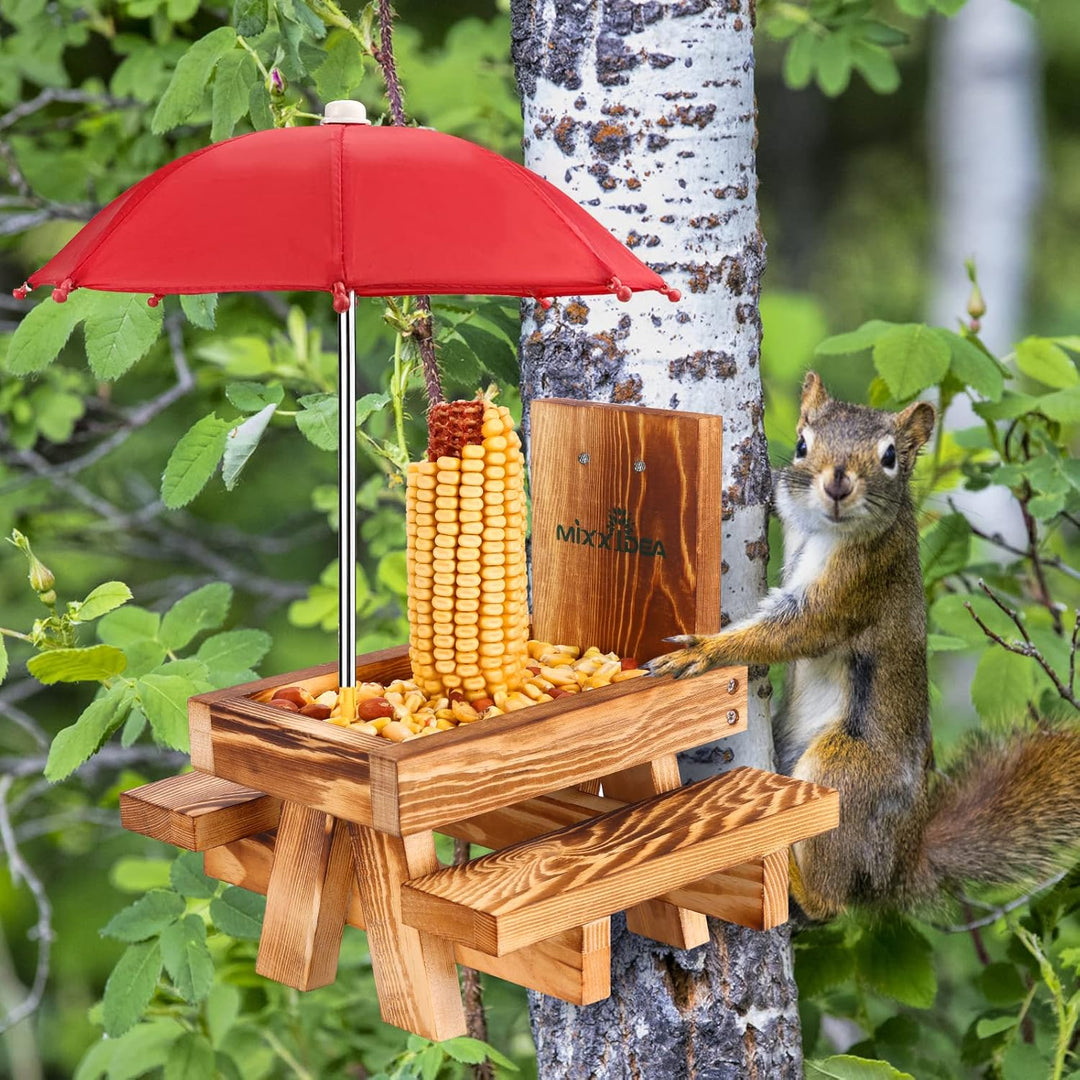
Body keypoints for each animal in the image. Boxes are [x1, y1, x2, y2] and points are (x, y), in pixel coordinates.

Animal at [648, 371, 1080, 922]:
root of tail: (898, 866)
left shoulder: (860, 580)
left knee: (831, 902)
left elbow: (798, 630)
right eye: (803, 444)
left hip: (847, 769)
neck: (824, 529)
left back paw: (797, 879)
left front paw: (703, 652)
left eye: (890, 456)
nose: (837, 483)